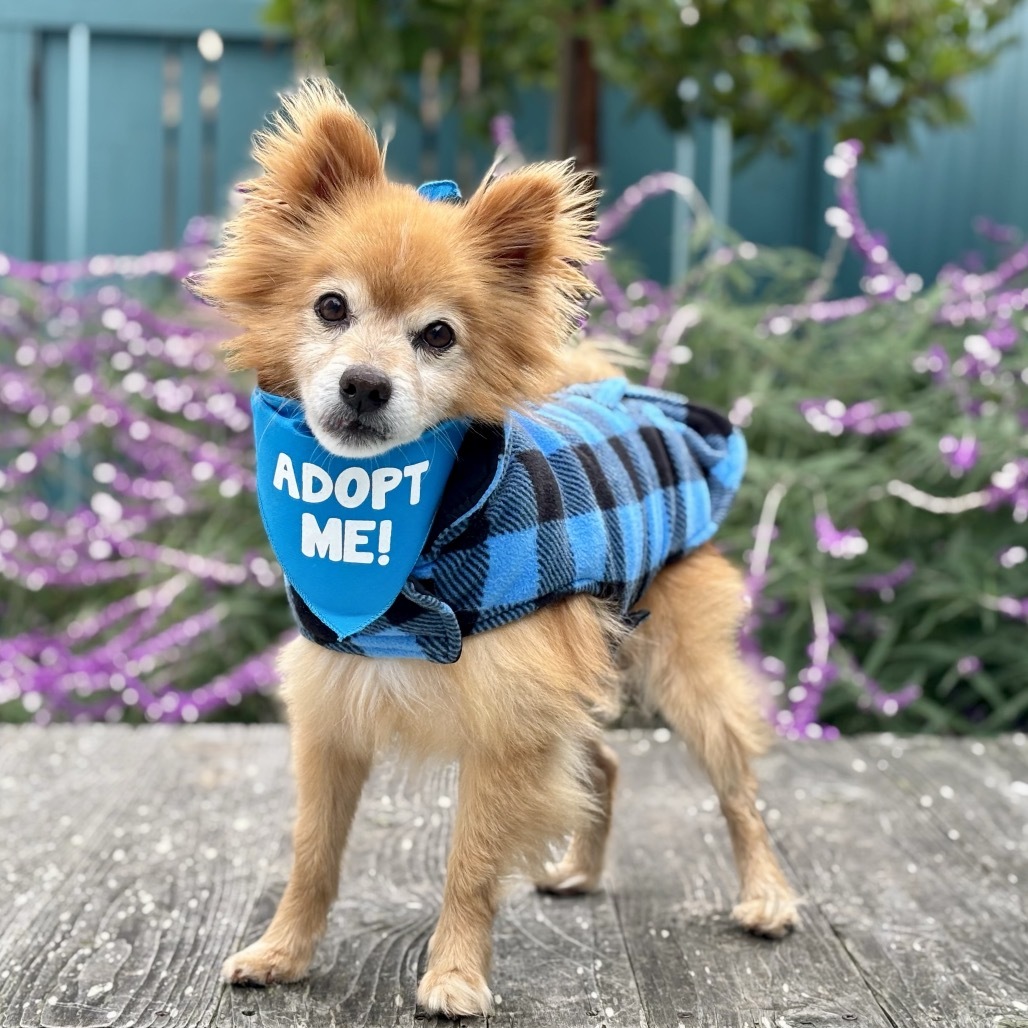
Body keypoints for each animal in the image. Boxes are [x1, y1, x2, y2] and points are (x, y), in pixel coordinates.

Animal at [194, 80, 801, 1019]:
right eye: (331, 308)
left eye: (438, 336)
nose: (364, 384)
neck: (407, 532)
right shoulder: (337, 714)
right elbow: (312, 855)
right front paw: (283, 952)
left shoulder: (508, 721)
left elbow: (471, 867)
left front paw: (452, 975)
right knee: (604, 763)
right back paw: (580, 871)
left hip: (682, 671)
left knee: (737, 786)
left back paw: (766, 894)